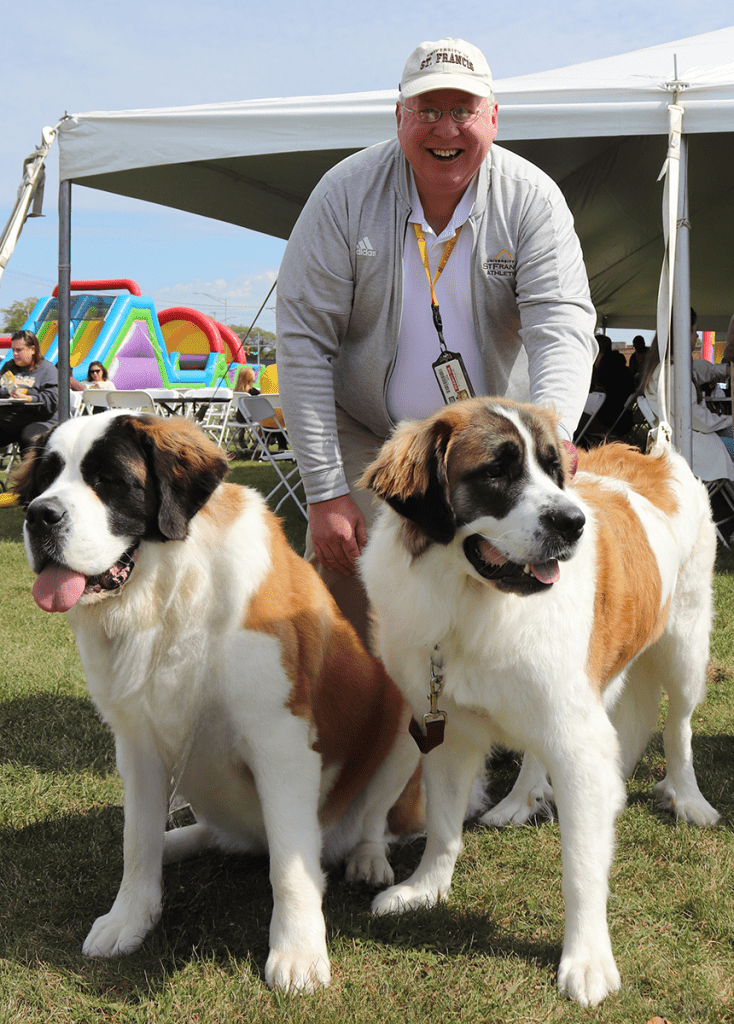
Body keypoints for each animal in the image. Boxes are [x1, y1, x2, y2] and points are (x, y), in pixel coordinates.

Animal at [14, 411, 421, 995]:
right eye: (43, 481)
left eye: (109, 481)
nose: (38, 515)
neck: (169, 592)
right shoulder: (136, 742)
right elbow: (136, 841)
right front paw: (128, 919)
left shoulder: (280, 742)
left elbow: (290, 865)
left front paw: (297, 952)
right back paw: (180, 840)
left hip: (405, 720)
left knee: (369, 823)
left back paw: (366, 859)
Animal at [358, 397, 720, 1007]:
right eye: (496, 472)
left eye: (554, 470)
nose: (572, 522)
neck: (474, 602)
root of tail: (658, 454)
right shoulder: (449, 733)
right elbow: (442, 825)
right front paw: (425, 889)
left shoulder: (579, 737)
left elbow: (580, 866)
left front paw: (587, 959)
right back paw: (520, 800)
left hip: (685, 646)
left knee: (679, 727)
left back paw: (688, 797)